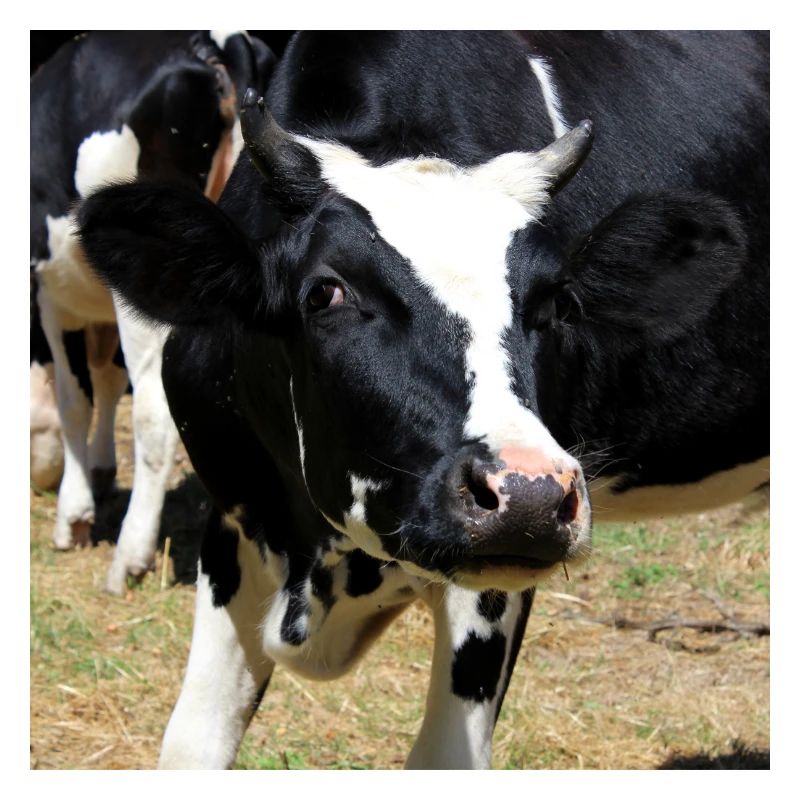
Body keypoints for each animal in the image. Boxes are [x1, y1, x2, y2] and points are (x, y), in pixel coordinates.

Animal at [30, 30, 275, 594]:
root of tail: (212, 43)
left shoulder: (52, 293)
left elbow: (75, 397)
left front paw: (74, 514)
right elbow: (106, 380)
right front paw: (101, 471)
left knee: (154, 412)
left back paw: (130, 556)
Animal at [77, 31, 768, 768]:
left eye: (557, 305)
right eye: (326, 292)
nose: (530, 494)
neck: (321, 562)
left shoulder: (491, 585)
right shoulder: (237, 516)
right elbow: (191, 744)